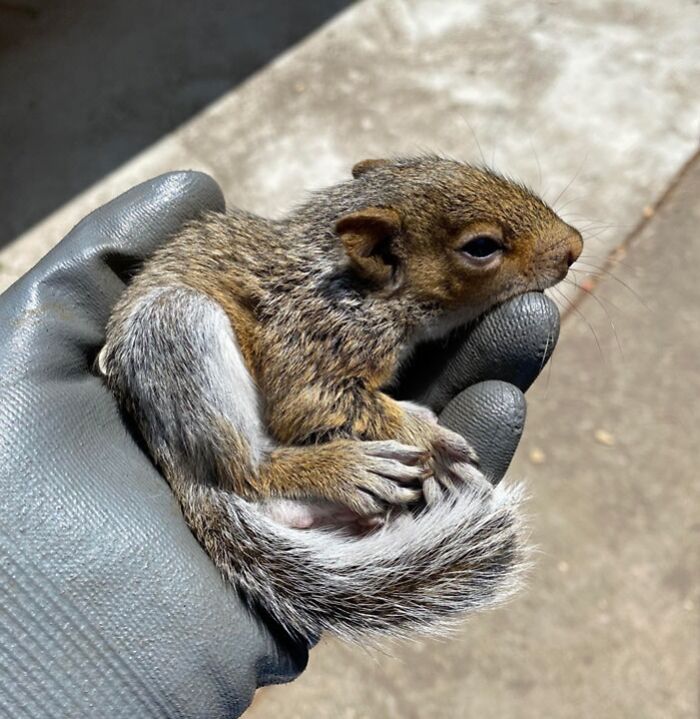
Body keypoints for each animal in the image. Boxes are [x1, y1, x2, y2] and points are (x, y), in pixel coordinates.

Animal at [98, 156, 582, 643]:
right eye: (482, 247)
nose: (574, 246)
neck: (355, 285)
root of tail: (174, 461)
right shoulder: (313, 341)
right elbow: (310, 405)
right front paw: (432, 442)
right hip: (176, 329)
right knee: (248, 473)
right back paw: (348, 469)